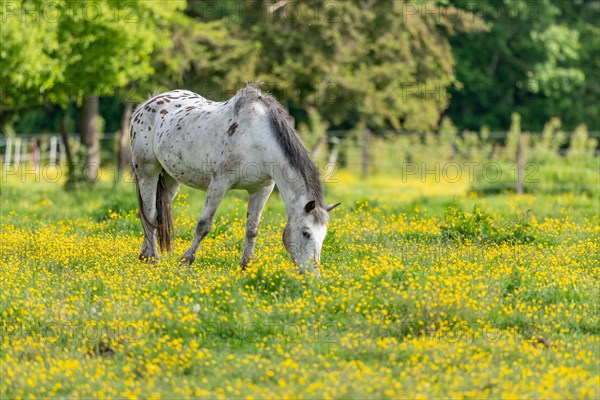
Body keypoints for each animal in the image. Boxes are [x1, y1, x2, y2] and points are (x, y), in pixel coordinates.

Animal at [129, 81, 340, 276]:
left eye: (323, 236)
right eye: (306, 233)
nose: (313, 275)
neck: (256, 138)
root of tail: (145, 105)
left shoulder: (262, 189)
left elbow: (252, 229)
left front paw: (246, 266)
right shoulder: (219, 183)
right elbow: (204, 225)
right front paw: (186, 261)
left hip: (170, 179)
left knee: (156, 215)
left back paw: (144, 256)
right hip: (148, 172)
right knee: (150, 215)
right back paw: (154, 260)